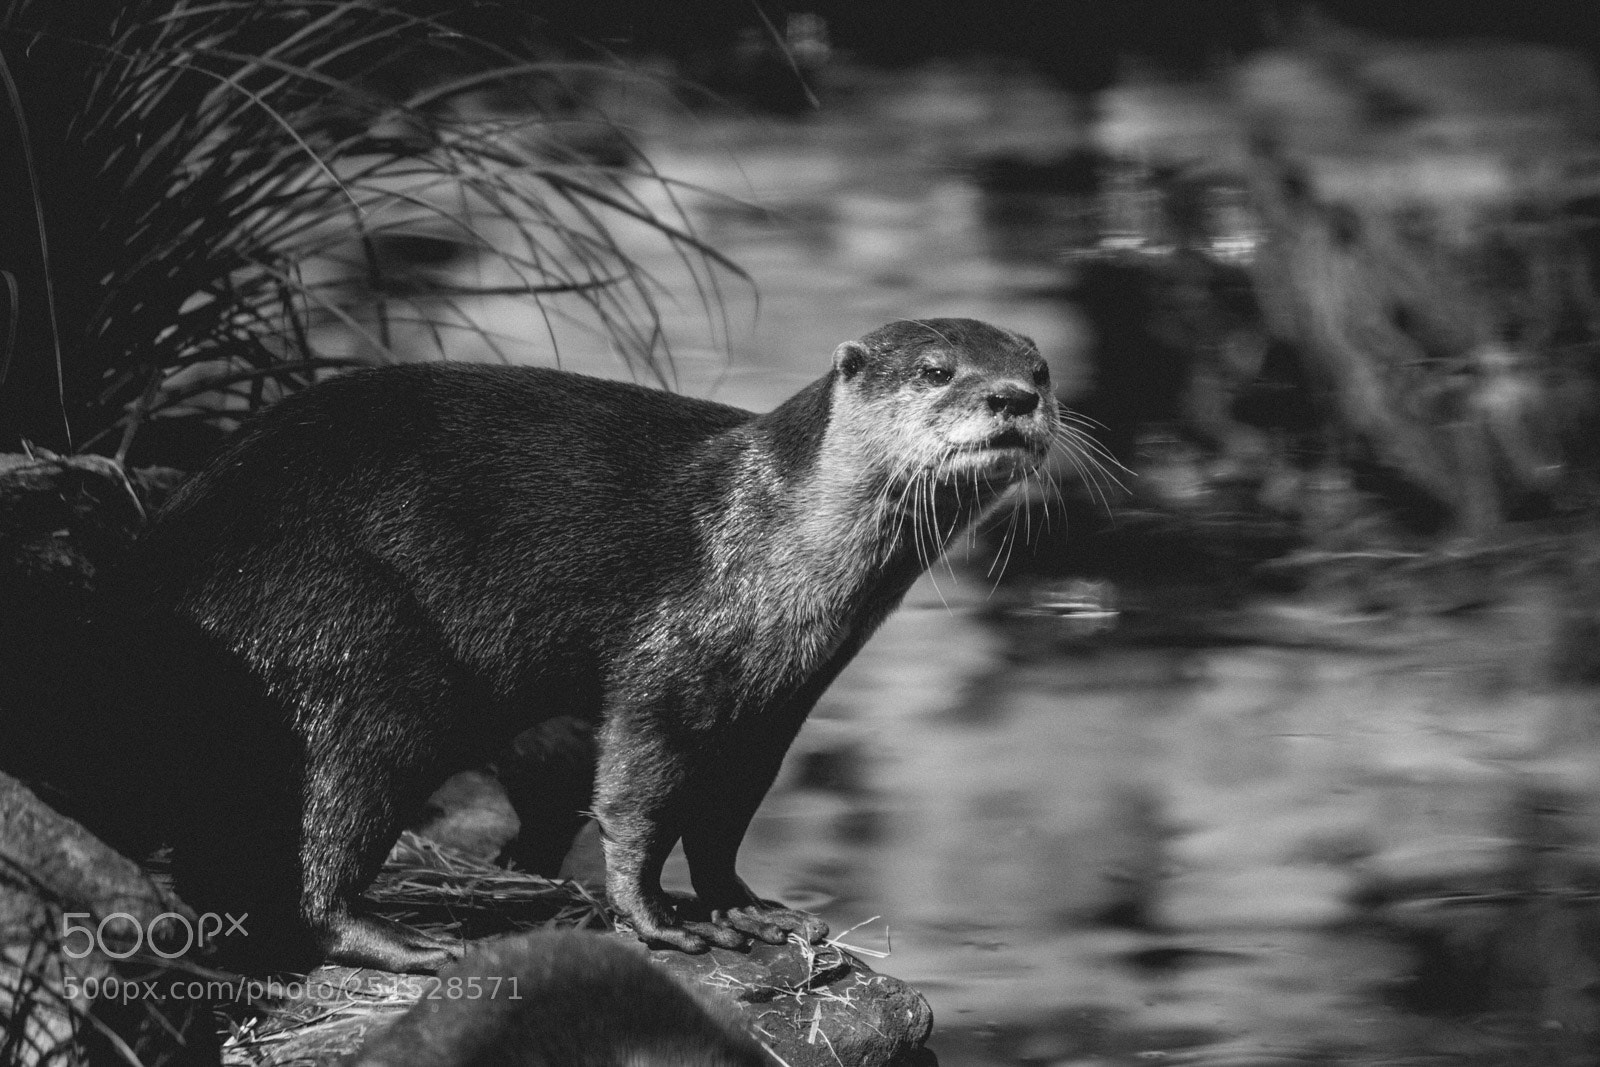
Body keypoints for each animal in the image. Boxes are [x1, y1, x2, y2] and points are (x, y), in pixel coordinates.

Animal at [103, 317, 1062, 973]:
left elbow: (725, 818)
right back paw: (409, 941)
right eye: (938, 371)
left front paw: (749, 910)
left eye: (1039, 368)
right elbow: (636, 799)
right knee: (325, 825)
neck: (764, 533)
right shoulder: (669, 664)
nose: (1013, 398)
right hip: (352, 645)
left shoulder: (775, 703)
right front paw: (655, 920)